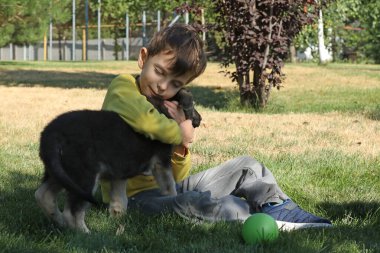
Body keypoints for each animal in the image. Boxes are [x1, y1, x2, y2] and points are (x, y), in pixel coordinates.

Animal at [35, 88, 200, 232]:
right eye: (194, 106)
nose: (199, 120)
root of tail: (50, 134)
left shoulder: (119, 172)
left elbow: (120, 199)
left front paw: (118, 221)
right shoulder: (161, 162)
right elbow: (170, 187)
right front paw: (173, 198)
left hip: (62, 172)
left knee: (43, 195)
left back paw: (59, 222)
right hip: (84, 175)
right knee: (72, 211)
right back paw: (86, 233)